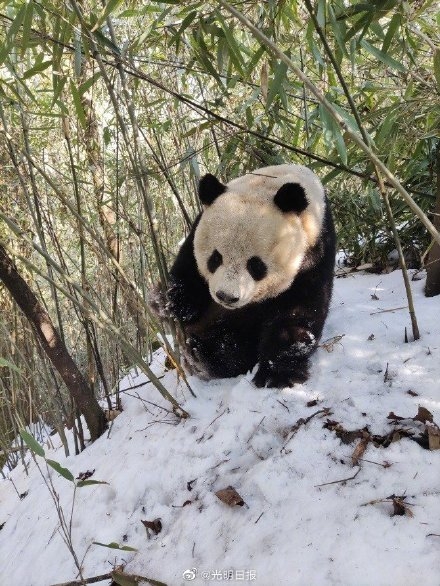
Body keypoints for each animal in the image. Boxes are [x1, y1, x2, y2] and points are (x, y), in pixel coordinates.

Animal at [153, 162, 336, 386]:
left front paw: (276, 374)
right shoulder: (196, 230)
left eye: (255, 265)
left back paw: (203, 355)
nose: (226, 296)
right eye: (215, 258)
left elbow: (298, 313)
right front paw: (173, 303)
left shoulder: (315, 253)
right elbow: (187, 270)